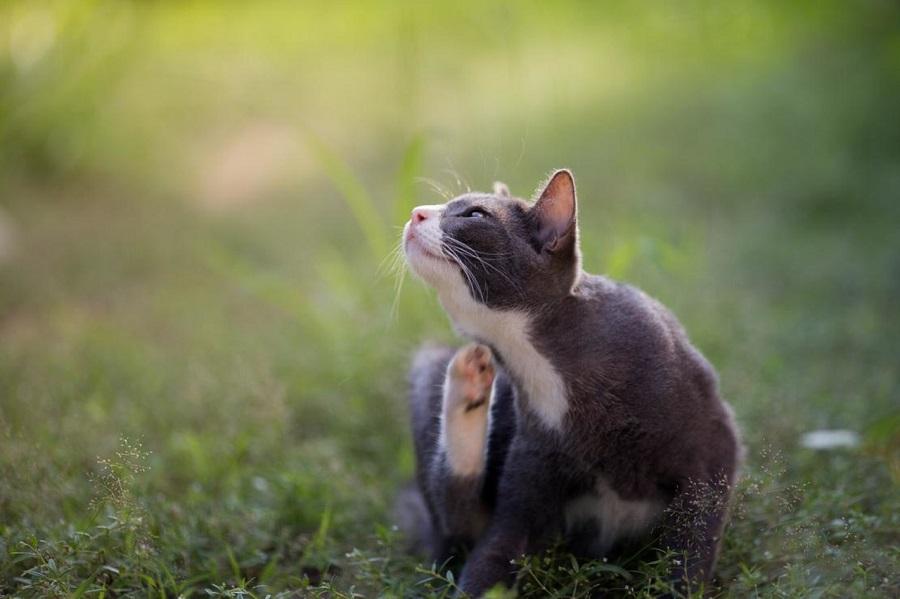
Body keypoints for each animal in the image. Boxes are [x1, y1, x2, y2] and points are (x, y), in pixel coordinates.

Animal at [404, 169, 740, 596]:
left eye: (475, 214)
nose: (415, 213)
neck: (538, 362)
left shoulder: (713, 447)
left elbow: (694, 544)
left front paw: (679, 584)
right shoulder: (532, 459)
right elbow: (493, 551)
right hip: (427, 366)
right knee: (454, 520)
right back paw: (469, 380)